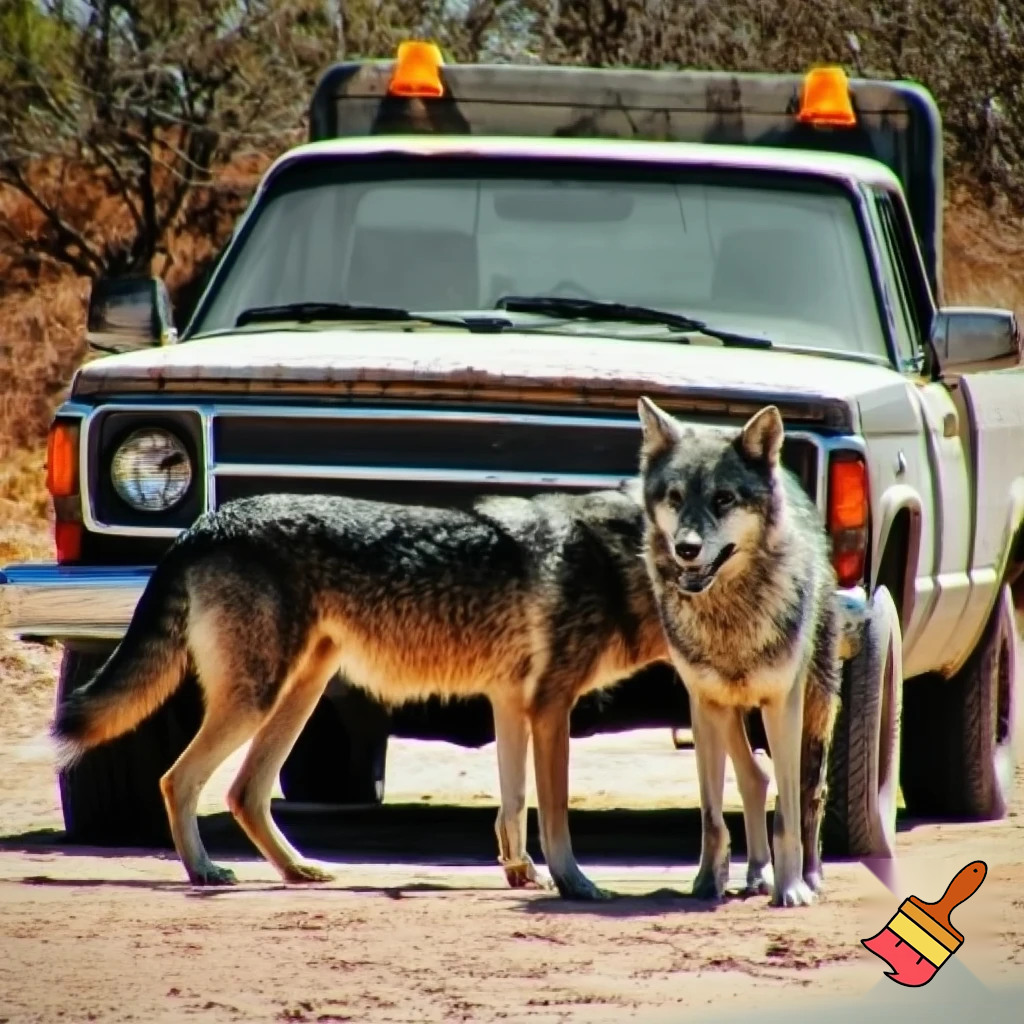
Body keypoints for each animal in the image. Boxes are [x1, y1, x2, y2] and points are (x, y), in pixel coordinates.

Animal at [51, 488, 669, 899]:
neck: (621, 560)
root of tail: (208, 521)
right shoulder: (549, 707)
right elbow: (554, 814)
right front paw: (576, 884)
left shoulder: (513, 703)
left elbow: (513, 804)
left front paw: (520, 872)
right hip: (257, 699)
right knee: (178, 779)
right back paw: (204, 871)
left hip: (298, 695)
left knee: (244, 793)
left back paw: (297, 871)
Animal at [636, 396, 841, 908]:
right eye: (674, 497)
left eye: (724, 499)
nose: (687, 549)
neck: (730, 622)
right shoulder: (704, 704)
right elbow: (711, 816)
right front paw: (708, 883)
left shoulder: (781, 705)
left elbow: (787, 814)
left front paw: (791, 889)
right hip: (726, 714)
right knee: (754, 778)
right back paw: (757, 873)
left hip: (815, 711)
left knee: (810, 792)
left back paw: (809, 876)